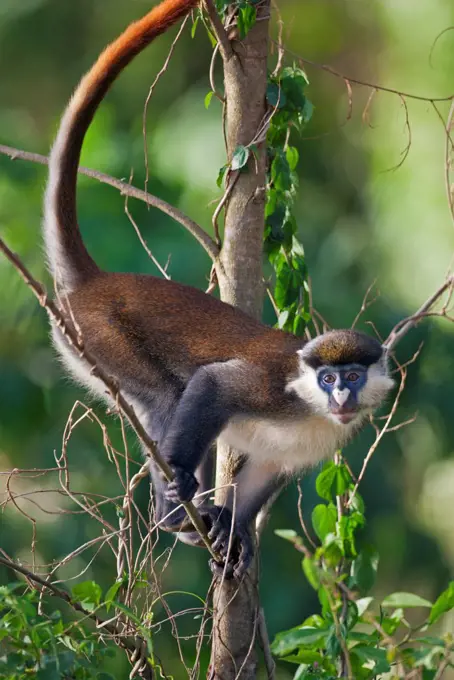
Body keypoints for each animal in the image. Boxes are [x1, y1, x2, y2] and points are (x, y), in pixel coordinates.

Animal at [42, 0, 394, 580]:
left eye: (352, 375)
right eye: (327, 378)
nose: (342, 395)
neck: (312, 407)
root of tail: (93, 283)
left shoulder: (317, 441)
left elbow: (265, 474)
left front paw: (235, 529)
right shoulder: (271, 387)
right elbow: (211, 384)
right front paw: (190, 501)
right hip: (98, 335)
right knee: (169, 395)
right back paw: (176, 507)